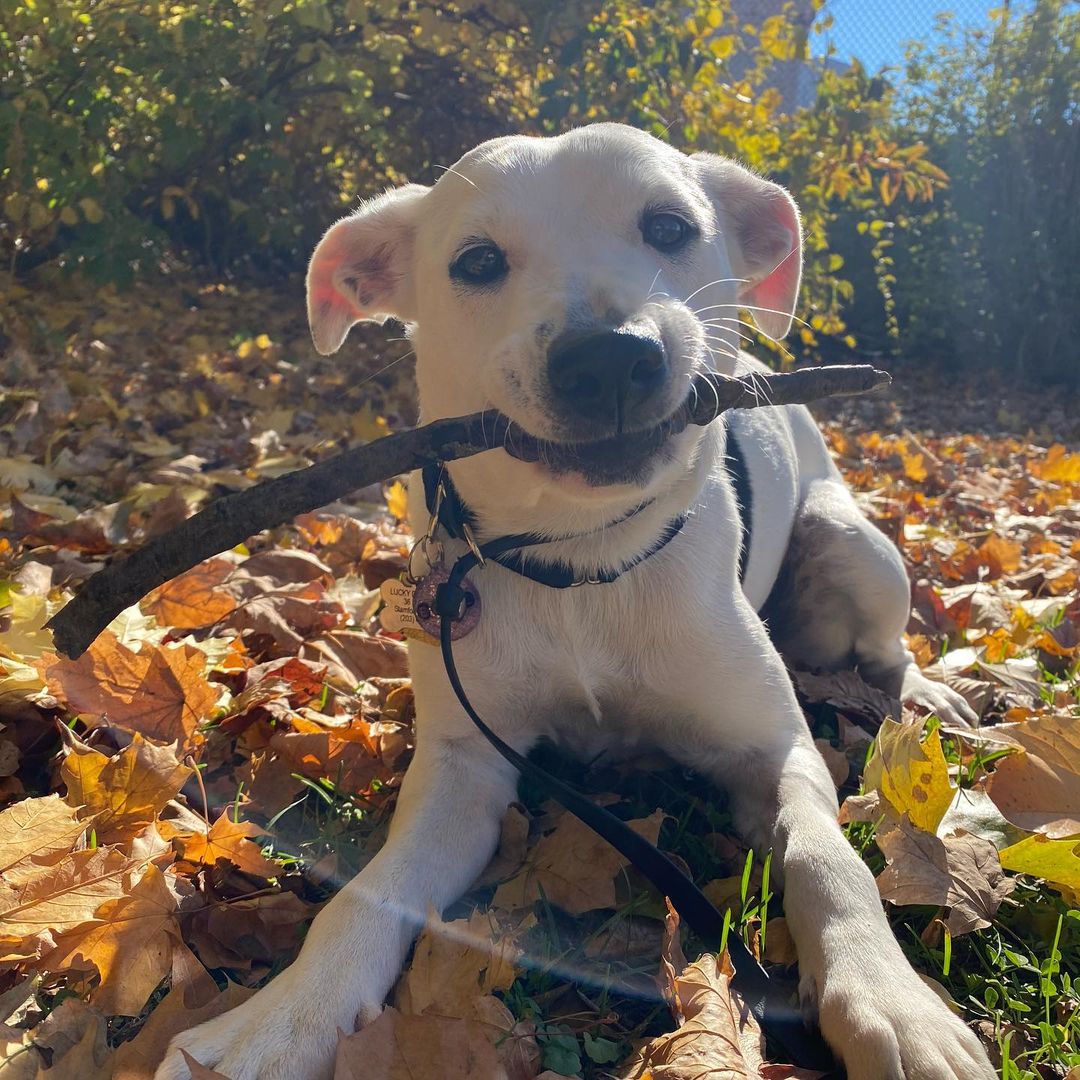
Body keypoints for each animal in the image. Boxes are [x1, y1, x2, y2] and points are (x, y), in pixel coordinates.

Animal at [156, 124, 989, 1080]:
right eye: (477, 260)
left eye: (669, 226)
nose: (610, 357)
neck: (582, 557)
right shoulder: (464, 769)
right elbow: (367, 895)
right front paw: (282, 1018)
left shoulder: (775, 750)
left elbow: (830, 859)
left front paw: (893, 1003)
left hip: (858, 548)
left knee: (886, 648)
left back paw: (927, 695)